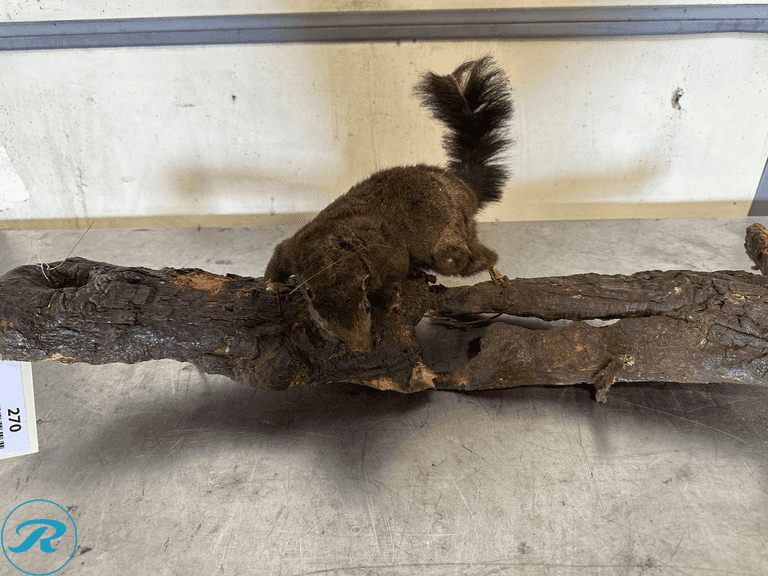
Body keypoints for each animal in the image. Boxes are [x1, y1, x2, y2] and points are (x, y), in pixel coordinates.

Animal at [265, 56, 513, 352]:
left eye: (366, 306)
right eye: (323, 321)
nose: (362, 348)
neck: (331, 250)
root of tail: (462, 188)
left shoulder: (387, 257)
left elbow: (395, 276)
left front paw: (393, 301)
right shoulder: (295, 249)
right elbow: (277, 256)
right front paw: (273, 286)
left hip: (451, 240)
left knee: (473, 257)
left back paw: (495, 272)